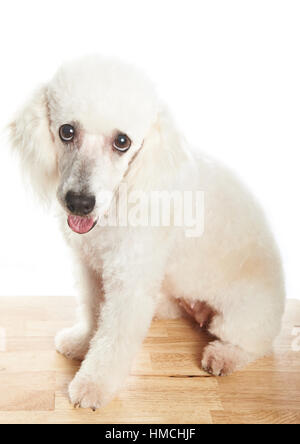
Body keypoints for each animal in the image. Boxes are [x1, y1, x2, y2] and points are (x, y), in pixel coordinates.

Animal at [9, 55, 284, 410]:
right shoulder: (91, 269)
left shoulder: (130, 283)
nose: (80, 203)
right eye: (66, 131)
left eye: (122, 142)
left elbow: (112, 340)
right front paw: (82, 342)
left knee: (255, 343)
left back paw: (224, 356)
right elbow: (93, 313)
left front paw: (93, 385)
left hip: (241, 315)